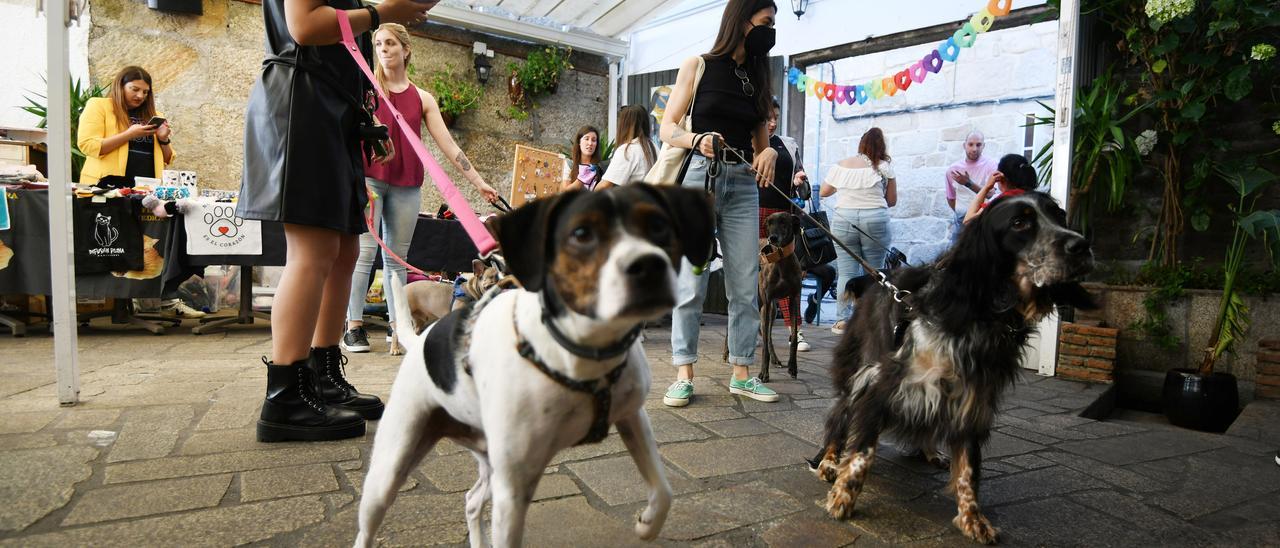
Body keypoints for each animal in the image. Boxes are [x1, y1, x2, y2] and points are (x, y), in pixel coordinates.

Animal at [355, 185, 716, 548]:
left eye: (658, 226)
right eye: (581, 233)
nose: (650, 265)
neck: (584, 353)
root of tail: (421, 341)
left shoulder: (633, 418)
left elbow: (664, 489)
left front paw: (648, 525)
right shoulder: (514, 489)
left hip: (489, 460)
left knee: (471, 500)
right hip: (392, 466)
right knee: (368, 525)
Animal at [814, 192, 1095, 542]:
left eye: (1060, 215)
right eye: (1019, 223)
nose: (1082, 245)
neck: (981, 315)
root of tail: (875, 278)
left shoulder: (973, 400)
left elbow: (968, 471)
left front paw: (973, 519)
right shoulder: (881, 385)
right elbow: (862, 454)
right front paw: (842, 497)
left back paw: (930, 451)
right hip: (854, 373)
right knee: (838, 418)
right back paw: (828, 462)